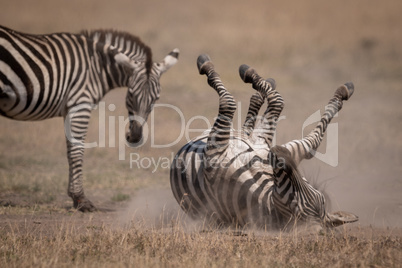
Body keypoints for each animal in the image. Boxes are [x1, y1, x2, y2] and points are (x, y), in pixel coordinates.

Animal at [0, 26, 179, 213]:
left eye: (156, 98)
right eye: (131, 94)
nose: (135, 136)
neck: (96, 67)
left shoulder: (70, 108)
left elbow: (70, 151)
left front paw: (74, 196)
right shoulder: (80, 104)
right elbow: (77, 151)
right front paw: (81, 200)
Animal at [170, 55, 358, 230]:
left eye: (295, 207)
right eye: (317, 194)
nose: (278, 152)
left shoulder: (214, 157)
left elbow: (229, 102)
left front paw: (207, 66)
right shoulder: (298, 148)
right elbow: (313, 136)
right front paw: (343, 92)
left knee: (260, 111)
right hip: (259, 138)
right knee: (260, 115)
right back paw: (259, 82)